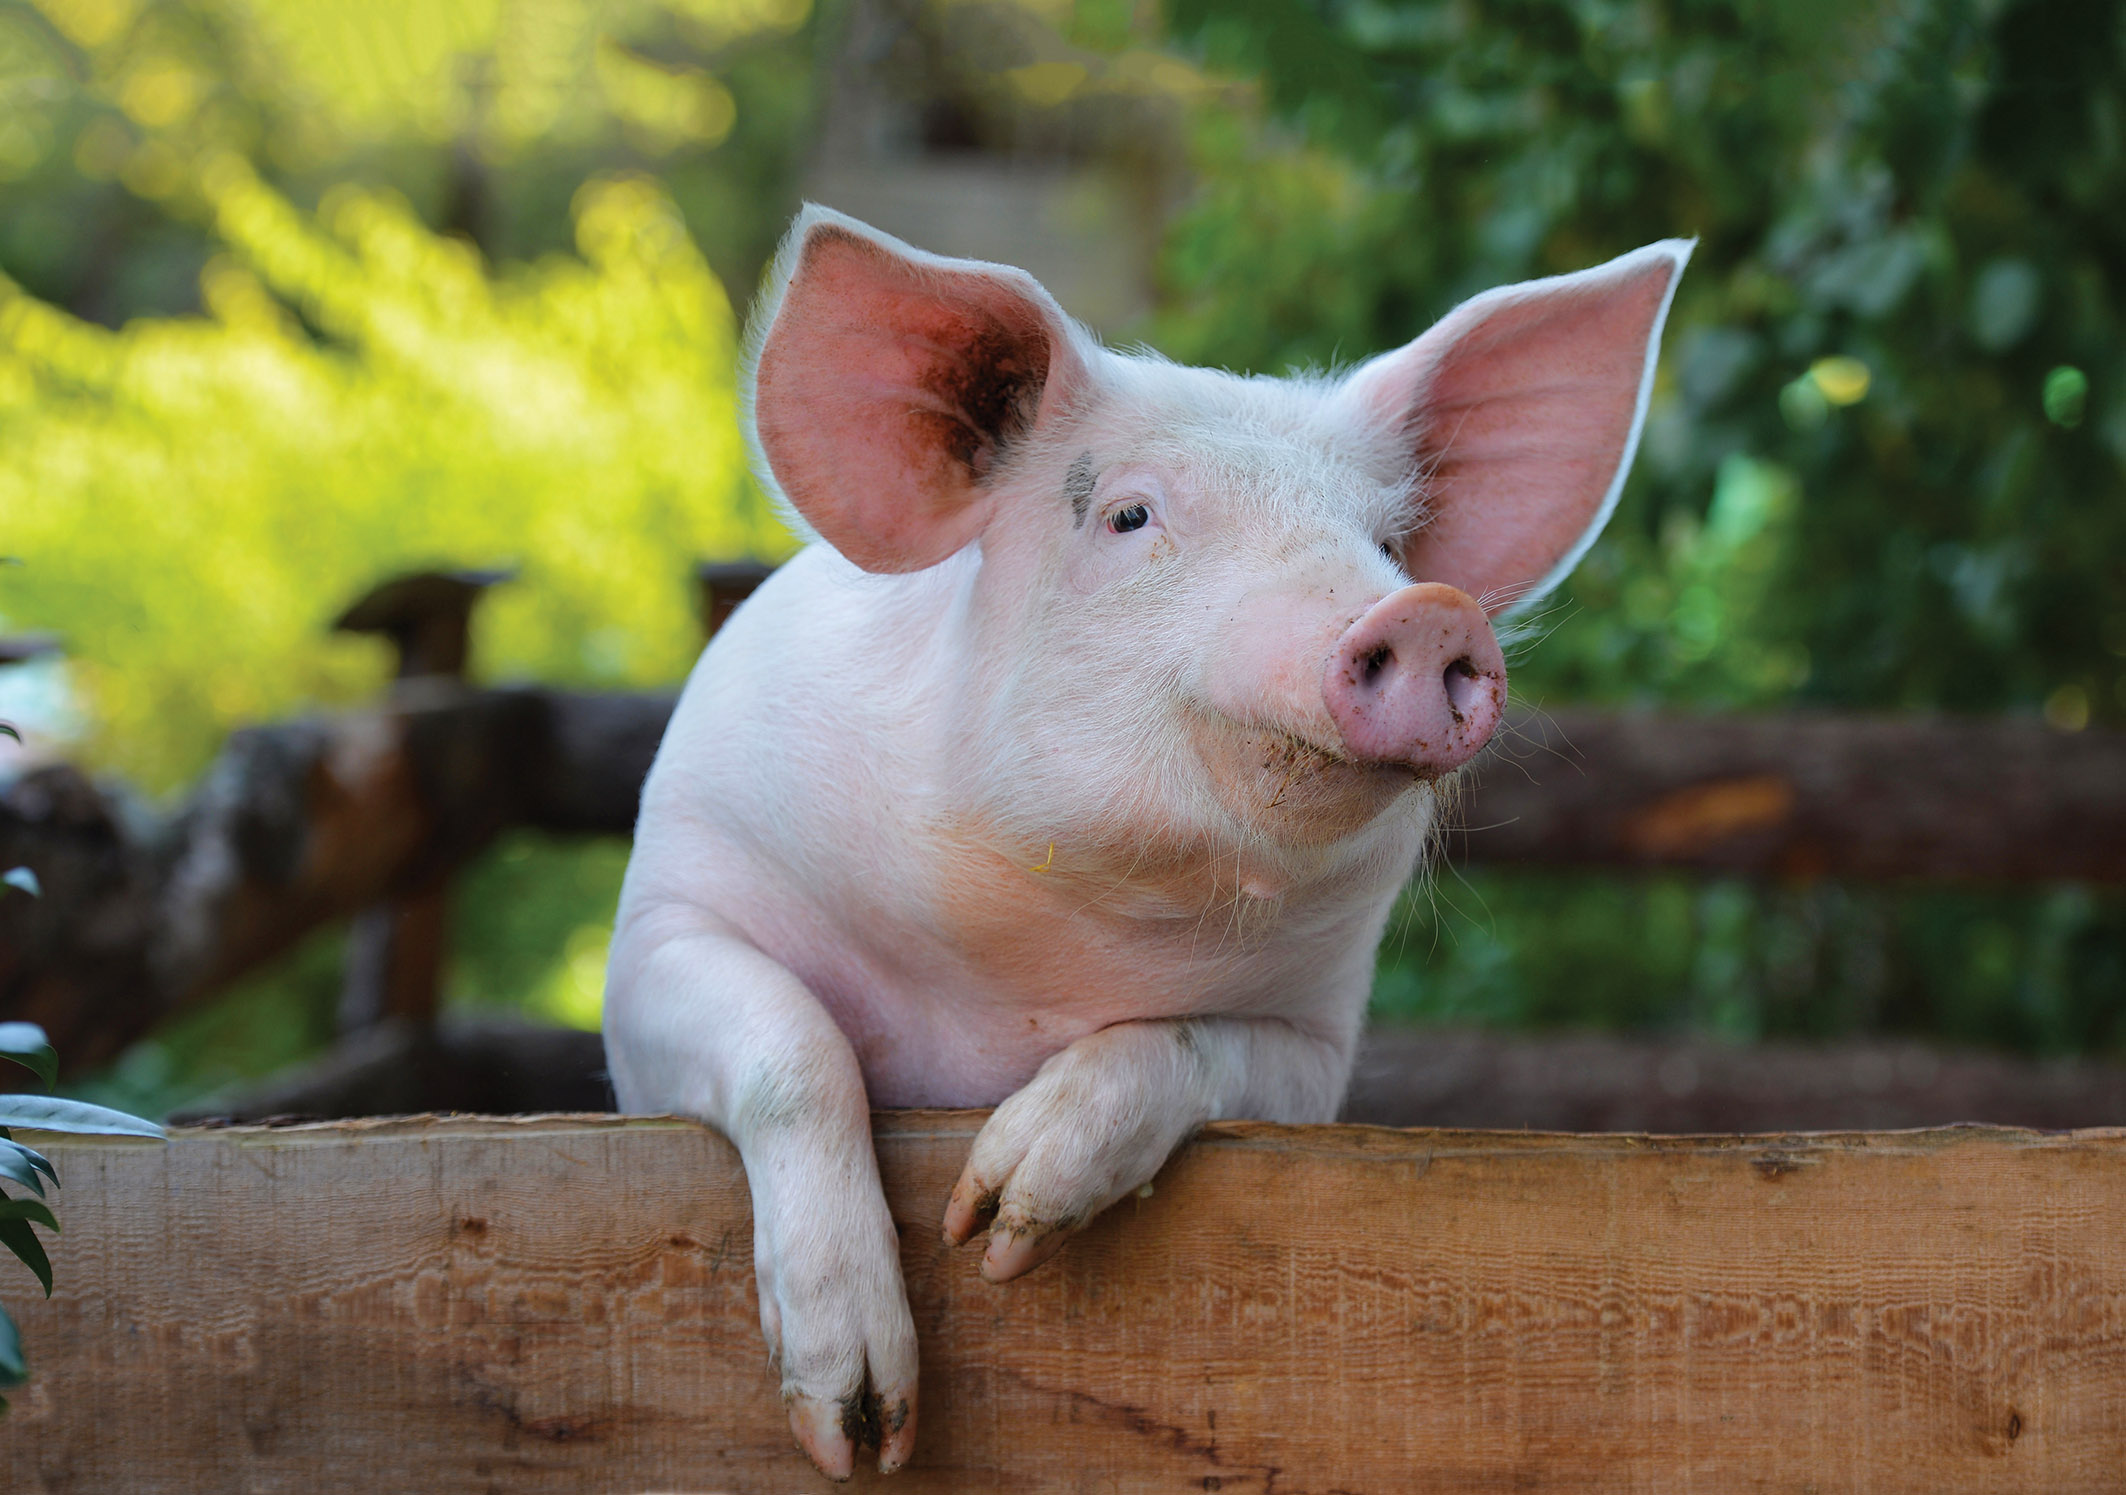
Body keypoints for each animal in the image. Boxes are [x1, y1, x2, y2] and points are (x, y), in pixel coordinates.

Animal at [603, 204, 1692, 1480]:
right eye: (1129, 515)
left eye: (1386, 542)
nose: (1426, 612)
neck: (1015, 973)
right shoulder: (667, 918)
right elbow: (792, 1047)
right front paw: (859, 1437)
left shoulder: (1314, 1051)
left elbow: (1180, 1044)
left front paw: (999, 1222)